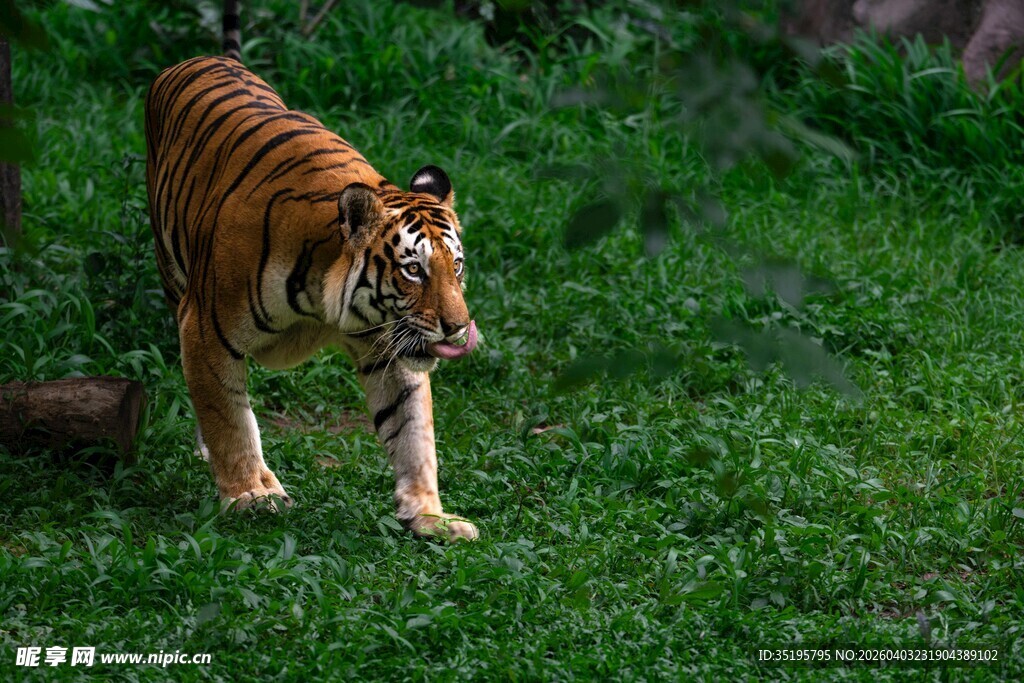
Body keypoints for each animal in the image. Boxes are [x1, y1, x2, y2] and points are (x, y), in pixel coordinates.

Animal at [144, 0, 479, 541]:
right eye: (413, 270)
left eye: (458, 266)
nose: (458, 328)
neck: (324, 301)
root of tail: (207, 59)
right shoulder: (204, 328)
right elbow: (227, 415)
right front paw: (249, 495)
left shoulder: (387, 346)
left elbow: (411, 431)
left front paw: (429, 516)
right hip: (172, 271)